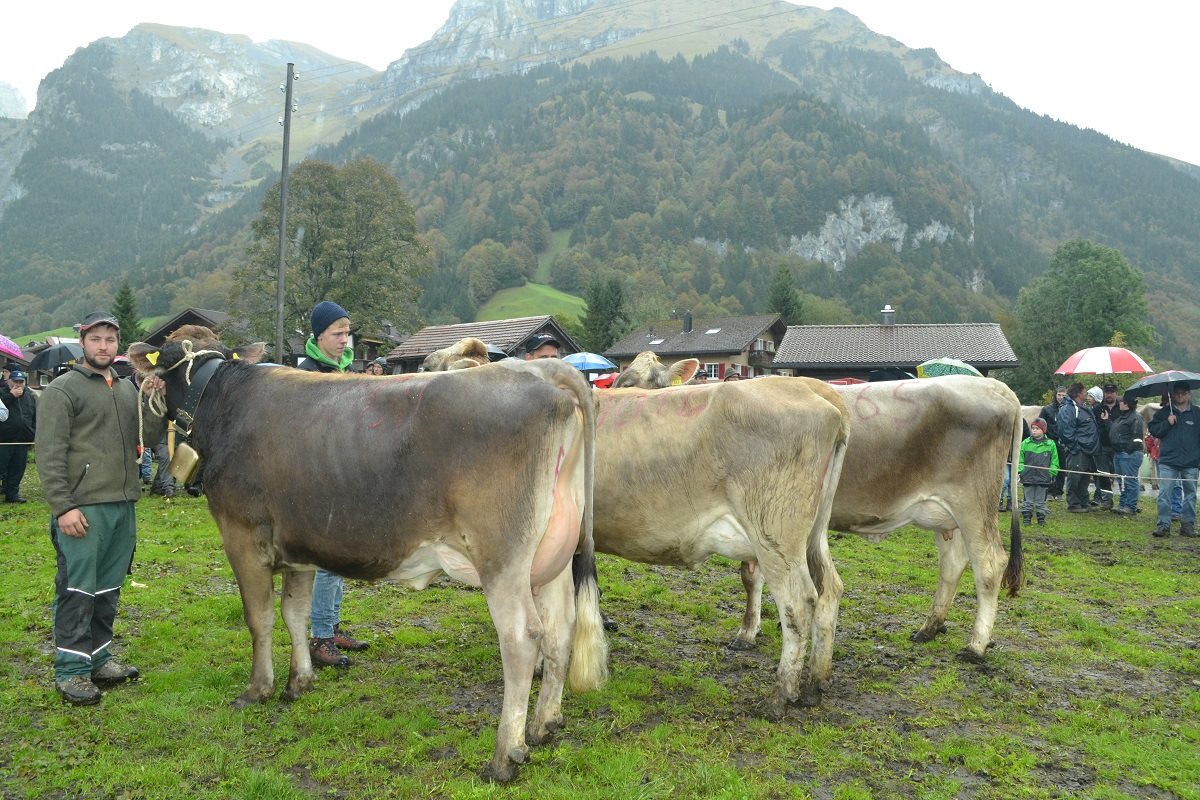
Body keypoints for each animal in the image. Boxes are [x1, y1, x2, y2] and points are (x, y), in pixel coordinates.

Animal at [128, 326, 608, 783]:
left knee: (523, 637)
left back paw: (505, 755)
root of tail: (541, 370)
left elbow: (259, 618)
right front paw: (299, 681)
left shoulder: (242, 537)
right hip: (553, 555)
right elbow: (294, 613)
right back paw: (545, 724)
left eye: (165, 363)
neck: (223, 401)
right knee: (560, 628)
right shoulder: (301, 547)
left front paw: (257, 689)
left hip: (502, 558)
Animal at [425, 339, 851, 718]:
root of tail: (813, 389)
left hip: (775, 531)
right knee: (830, 588)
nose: (425, 366)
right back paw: (816, 682)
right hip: (812, 533)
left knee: (799, 603)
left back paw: (781, 696)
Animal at [614, 352, 1025, 664]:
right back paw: (930, 626)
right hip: (943, 514)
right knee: (953, 564)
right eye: (622, 381)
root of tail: (1000, 389)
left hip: (974, 502)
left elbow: (753, 576)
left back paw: (975, 646)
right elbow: (753, 577)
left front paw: (748, 632)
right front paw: (755, 629)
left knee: (989, 565)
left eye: (641, 383)